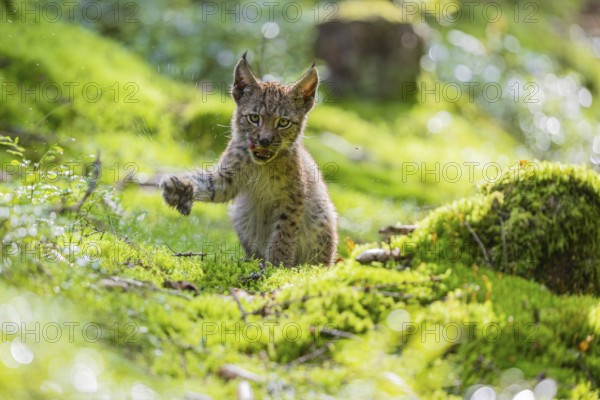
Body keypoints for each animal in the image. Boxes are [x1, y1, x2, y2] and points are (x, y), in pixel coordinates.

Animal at [159, 53, 338, 266]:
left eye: (283, 122)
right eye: (254, 118)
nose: (265, 140)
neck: (262, 165)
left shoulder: (294, 197)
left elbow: (283, 233)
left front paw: (277, 265)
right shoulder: (227, 180)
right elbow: (209, 185)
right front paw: (180, 188)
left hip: (320, 213)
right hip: (241, 212)